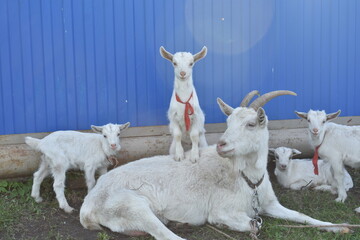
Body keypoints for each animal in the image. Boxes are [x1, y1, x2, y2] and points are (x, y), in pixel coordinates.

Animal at [79, 90, 348, 240]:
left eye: (251, 124)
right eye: (228, 122)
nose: (222, 145)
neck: (248, 180)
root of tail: (88, 205)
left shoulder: (270, 204)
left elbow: (302, 216)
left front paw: (340, 227)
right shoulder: (222, 209)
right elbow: (249, 224)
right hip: (131, 206)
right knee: (164, 234)